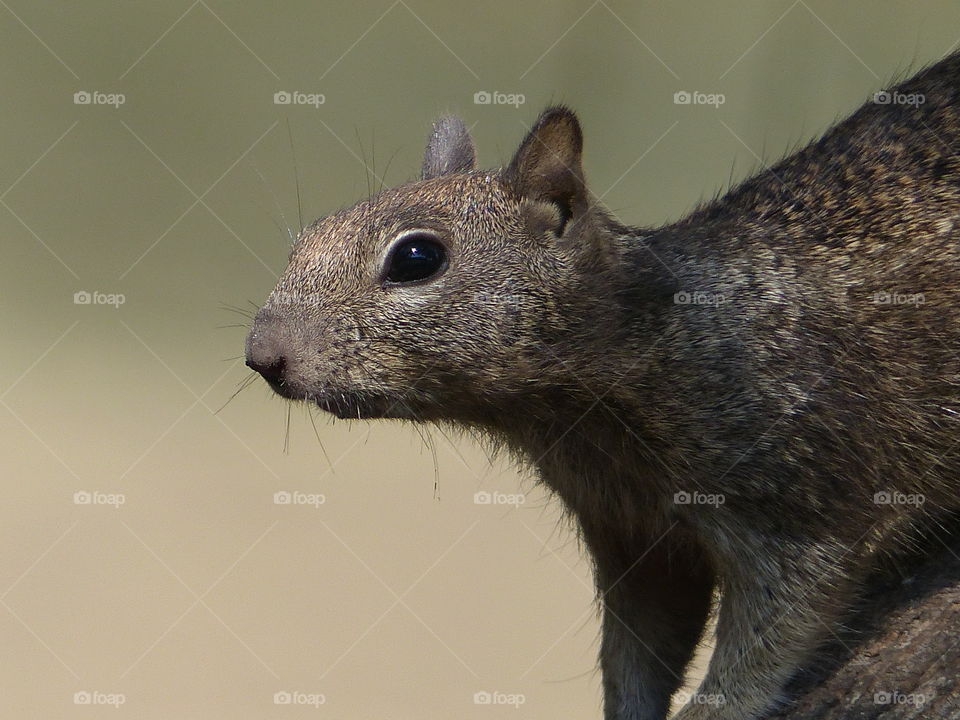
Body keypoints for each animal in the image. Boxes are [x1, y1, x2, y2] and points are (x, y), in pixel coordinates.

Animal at [246, 52, 960, 720]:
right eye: (306, 239)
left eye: (416, 258)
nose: (261, 356)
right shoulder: (634, 539)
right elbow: (639, 648)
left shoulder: (800, 493)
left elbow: (781, 622)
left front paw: (715, 706)